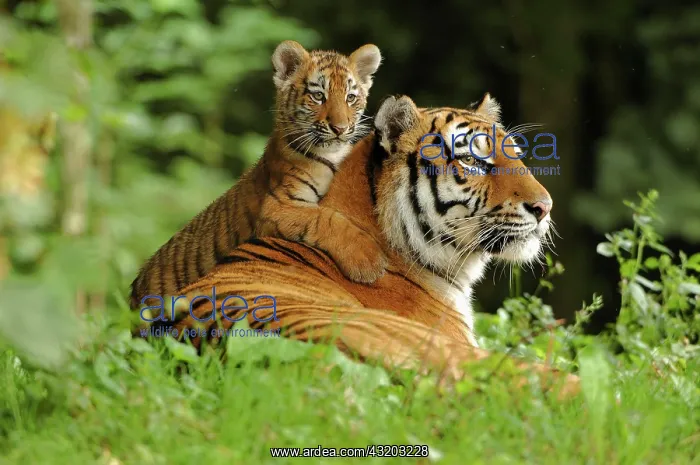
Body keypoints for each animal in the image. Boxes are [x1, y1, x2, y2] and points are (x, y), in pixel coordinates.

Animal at [129, 40, 385, 310]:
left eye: (350, 98)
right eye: (318, 96)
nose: (340, 128)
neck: (332, 154)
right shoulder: (277, 206)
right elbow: (325, 218)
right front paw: (368, 262)